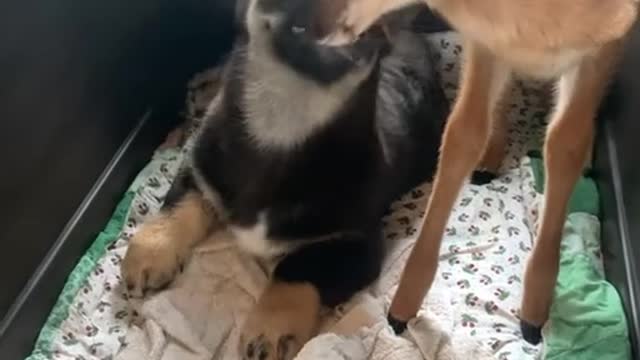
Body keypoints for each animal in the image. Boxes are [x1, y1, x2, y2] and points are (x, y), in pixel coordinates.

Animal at [122, 1, 448, 358]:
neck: (280, 133)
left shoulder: (358, 244)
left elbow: (297, 268)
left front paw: (271, 327)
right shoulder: (201, 168)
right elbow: (177, 205)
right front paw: (149, 252)